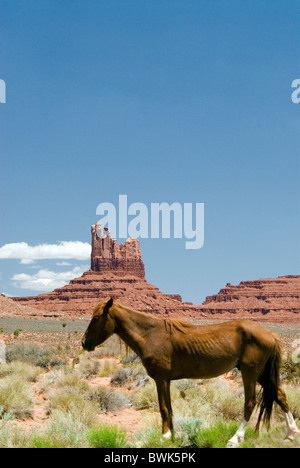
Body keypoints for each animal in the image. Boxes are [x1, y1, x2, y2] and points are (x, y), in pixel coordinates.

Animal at [82, 300, 300, 446]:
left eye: (96, 318)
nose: (84, 343)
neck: (150, 334)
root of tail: (270, 333)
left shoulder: (161, 379)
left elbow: (163, 408)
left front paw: (164, 436)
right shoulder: (167, 380)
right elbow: (169, 408)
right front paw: (172, 435)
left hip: (250, 372)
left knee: (250, 403)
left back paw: (235, 439)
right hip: (262, 374)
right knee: (281, 396)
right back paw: (291, 434)